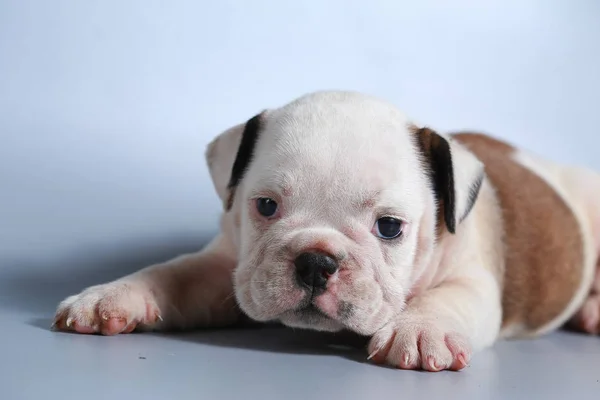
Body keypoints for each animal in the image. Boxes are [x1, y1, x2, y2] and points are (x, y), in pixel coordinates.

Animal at [51, 90, 600, 372]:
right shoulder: (225, 264)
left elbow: (447, 298)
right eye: (266, 206)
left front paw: (420, 329)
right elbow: (173, 273)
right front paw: (113, 296)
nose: (316, 261)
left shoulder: (473, 279)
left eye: (389, 227)